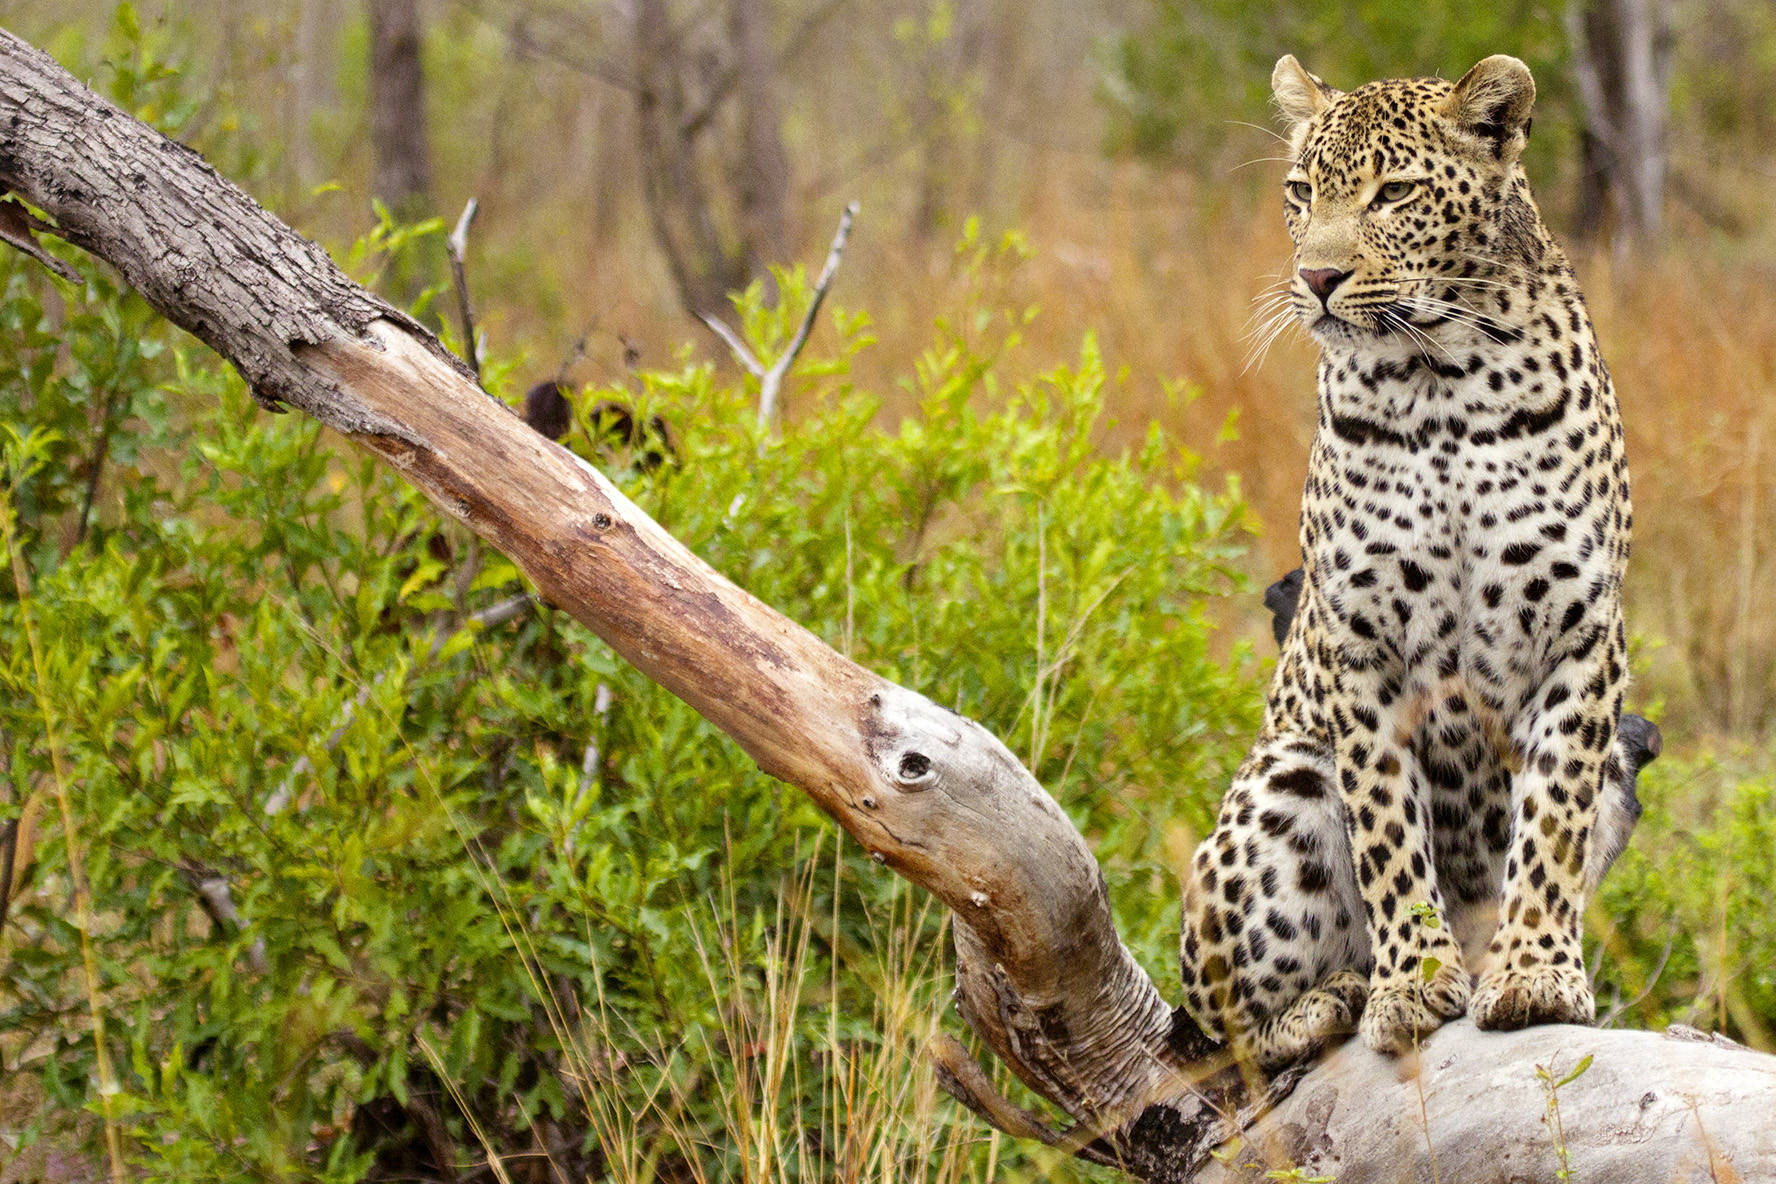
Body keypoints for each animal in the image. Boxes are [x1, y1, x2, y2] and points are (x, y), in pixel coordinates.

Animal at [1179, 55, 1633, 1072]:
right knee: (1222, 1035)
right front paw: (1413, 985)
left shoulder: (1581, 634)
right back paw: (1333, 999)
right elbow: (1387, 828)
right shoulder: (1362, 642)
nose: (1317, 277)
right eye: (1301, 193)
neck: (1441, 383)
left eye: (1394, 193)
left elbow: (1552, 816)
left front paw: (1534, 970)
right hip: (1282, 779)